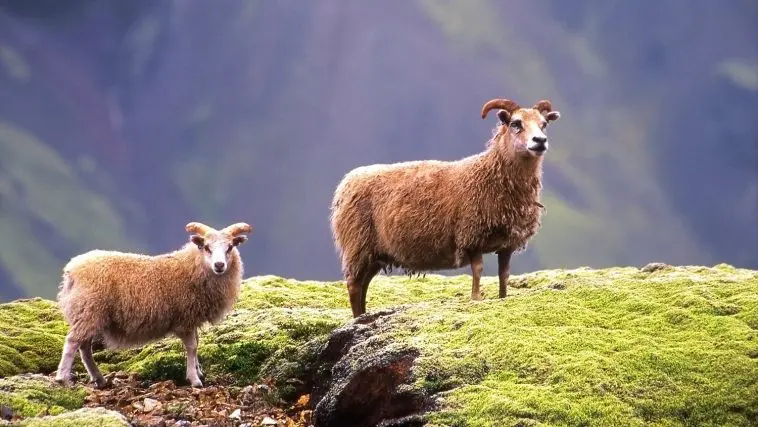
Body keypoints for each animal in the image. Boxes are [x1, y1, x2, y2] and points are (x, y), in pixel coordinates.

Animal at [54, 221, 253, 389]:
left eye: (230, 247)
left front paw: (199, 371)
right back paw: (63, 378)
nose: (219, 265)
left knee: (84, 348)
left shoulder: (191, 318)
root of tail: (71, 270)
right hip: (89, 310)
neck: (191, 268)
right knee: (72, 342)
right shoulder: (185, 318)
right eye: (206, 247)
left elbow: (196, 343)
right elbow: (192, 347)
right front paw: (194, 379)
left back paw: (99, 379)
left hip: (88, 314)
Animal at [329, 98, 561, 317]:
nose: (540, 141)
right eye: (516, 123)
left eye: (544, 124)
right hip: (358, 245)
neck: (491, 174)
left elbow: (504, 274)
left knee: (364, 285)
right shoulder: (471, 237)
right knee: (354, 285)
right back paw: (357, 317)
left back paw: (362, 315)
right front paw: (475, 299)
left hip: (374, 252)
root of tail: (347, 182)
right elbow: (478, 270)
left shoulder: (507, 244)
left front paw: (503, 297)